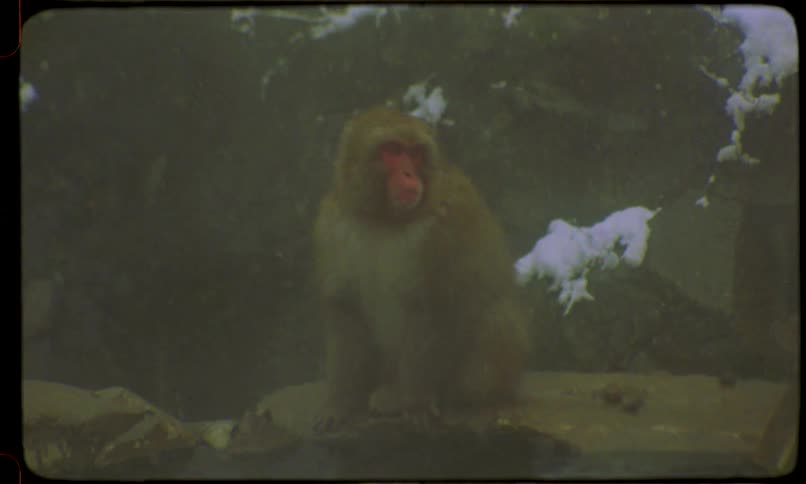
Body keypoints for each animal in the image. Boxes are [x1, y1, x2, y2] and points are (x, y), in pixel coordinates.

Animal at [312, 106, 531, 431]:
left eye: (415, 153)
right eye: (392, 150)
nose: (408, 173)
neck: (384, 220)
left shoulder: (445, 228)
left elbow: (432, 306)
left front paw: (415, 403)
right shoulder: (333, 227)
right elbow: (344, 309)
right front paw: (340, 404)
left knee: (495, 319)